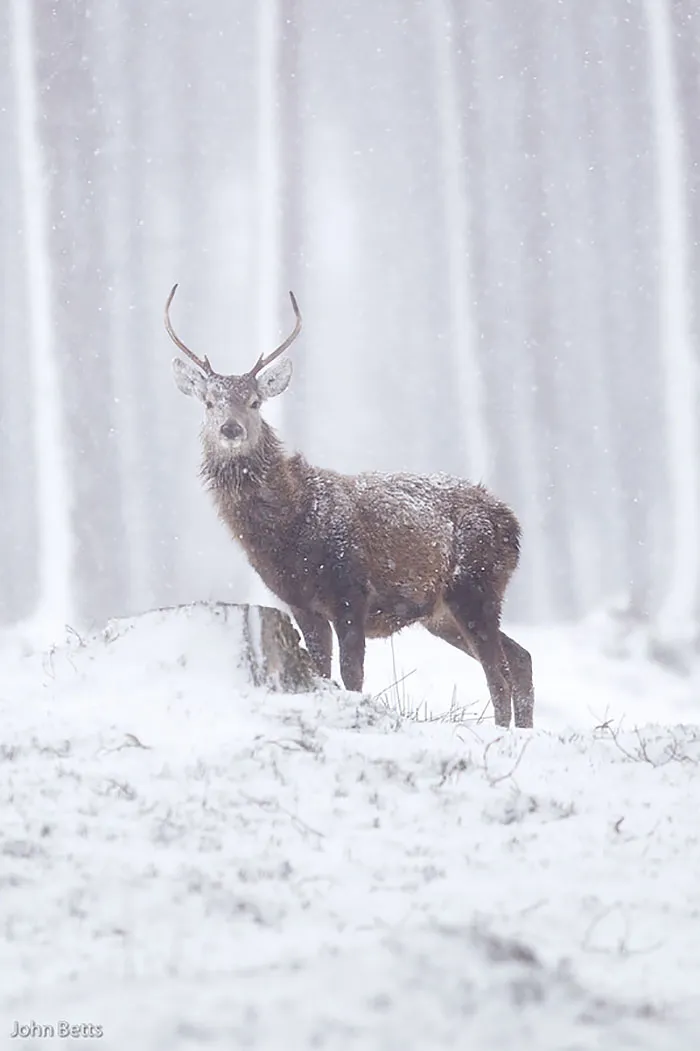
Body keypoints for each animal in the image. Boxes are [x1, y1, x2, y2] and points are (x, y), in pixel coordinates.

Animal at [166, 286, 534, 728]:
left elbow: (352, 674)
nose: (231, 428)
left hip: (477, 585)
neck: (291, 528)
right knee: (520, 657)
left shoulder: (352, 590)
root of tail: (513, 523)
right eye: (209, 402)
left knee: (497, 670)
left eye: (255, 402)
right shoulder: (299, 602)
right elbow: (322, 672)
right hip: (442, 612)